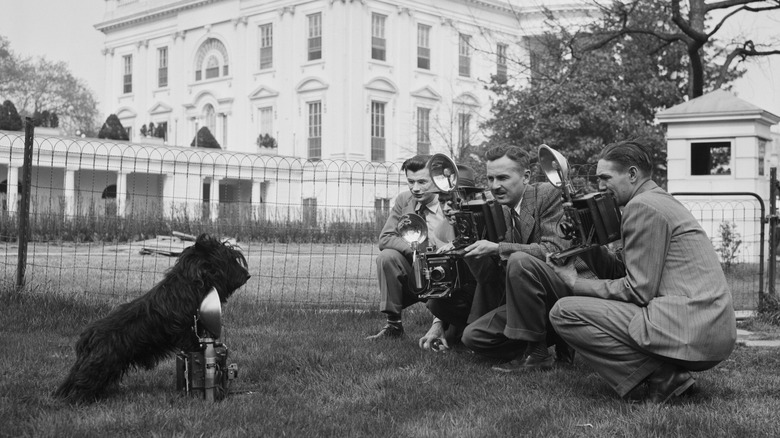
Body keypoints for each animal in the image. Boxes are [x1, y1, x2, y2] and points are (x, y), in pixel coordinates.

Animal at [54, 233, 250, 404]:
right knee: (82, 380)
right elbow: (193, 344)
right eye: (229, 260)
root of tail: (88, 336)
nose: (247, 275)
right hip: (101, 364)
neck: (191, 285)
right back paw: (77, 399)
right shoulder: (185, 331)